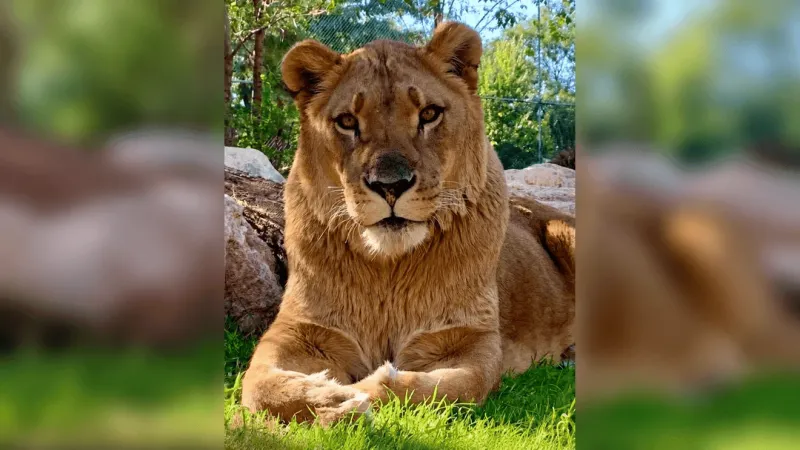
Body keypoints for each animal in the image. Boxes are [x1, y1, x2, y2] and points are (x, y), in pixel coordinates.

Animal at [241, 22, 575, 425]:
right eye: (347, 122)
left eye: (429, 114)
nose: (390, 185)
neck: (390, 267)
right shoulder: (302, 329)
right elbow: (257, 384)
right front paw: (328, 398)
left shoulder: (471, 338)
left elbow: (434, 387)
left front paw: (355, 395)